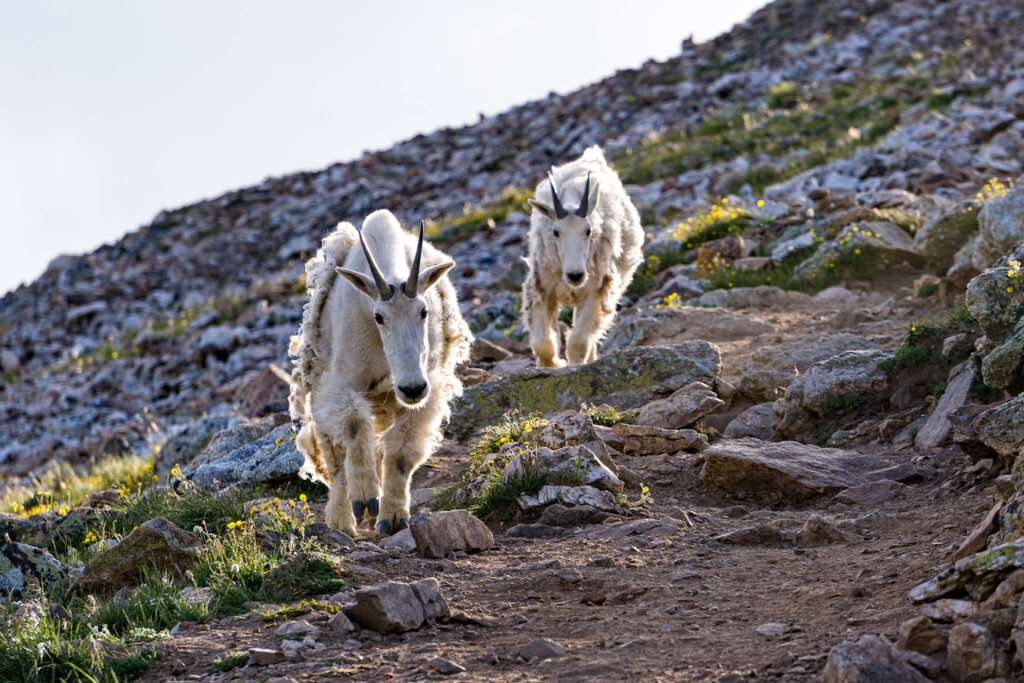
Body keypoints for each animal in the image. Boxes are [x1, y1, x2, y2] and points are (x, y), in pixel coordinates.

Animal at [288, 210, 471, 536]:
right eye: (379, 317)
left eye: (424, 311)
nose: (412, 388)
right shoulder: (341, 384)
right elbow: (354, 423)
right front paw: (365, 497)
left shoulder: (428, 391)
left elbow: (401, 451)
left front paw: (393, 517)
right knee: (335, 459)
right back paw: (342, 520)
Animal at [524, 145, 643, 368]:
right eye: (555, 232)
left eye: (588, 231)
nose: (575, 275)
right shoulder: (542, 287)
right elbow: (543, 344)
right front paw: (551, 365)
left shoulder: (596, 290)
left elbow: (578, 342)